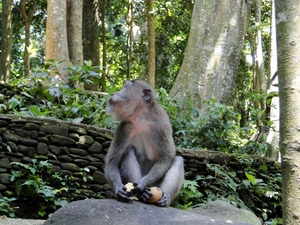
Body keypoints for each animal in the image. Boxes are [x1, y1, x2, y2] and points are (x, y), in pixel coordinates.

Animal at [104, 79, 184, 207]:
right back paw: (140, 194)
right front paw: (118, 189)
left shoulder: (162, 125)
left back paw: (165, 198)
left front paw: (142, 184)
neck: (141, 118)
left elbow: (166, 158)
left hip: (156, 185)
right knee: (127, 151)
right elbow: (112, 163)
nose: (113, 93)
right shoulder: (124, 127)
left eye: (125, 87)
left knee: (178, 160)